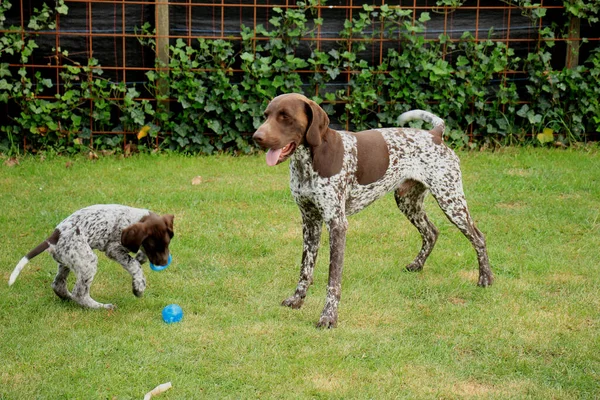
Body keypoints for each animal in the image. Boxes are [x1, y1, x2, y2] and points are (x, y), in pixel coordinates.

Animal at [9, 205, 173, 310]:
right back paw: (102, 307)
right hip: (88, 261)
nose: (163, 263)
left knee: (58, 285)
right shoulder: (113, 249)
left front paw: (141, 257)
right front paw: (139, 286)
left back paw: (68, 298)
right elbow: (134, 265)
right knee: (80, 294)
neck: (136, 218)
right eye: (153, 246)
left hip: (69, 260)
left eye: (167, 243)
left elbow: (139, 258)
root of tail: (53, 238)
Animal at [253, 93, 492, 328]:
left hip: (451, 200)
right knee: (431, 232)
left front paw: (329, 317)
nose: (257, 137)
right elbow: (305, 269)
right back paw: (417, 265)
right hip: (408, 201)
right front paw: (297, 300)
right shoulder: (310, 221)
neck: (309, 161)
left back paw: (485, 279)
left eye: (285, 116)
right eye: (266, 115)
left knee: (478, 237)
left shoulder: (336, 224)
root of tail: (435, 134)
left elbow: (333, 279)